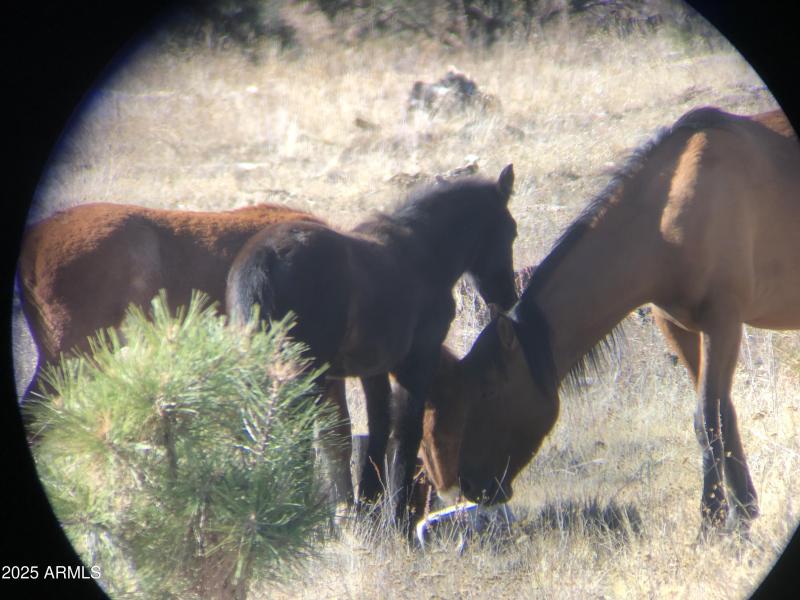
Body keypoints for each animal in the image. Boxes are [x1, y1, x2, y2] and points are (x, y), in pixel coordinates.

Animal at [225, 165, 518, 525]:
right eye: (511, 232)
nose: (508, 297)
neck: (423, 252)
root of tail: (264, 260)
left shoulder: (373, 369)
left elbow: (379, 427)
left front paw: (369, 504)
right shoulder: (416, 362)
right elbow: (407, 432)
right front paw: (400, 516)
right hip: (304, 375)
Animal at [444, 107, 800, 533]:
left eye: (488, 393)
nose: (469, 484)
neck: (670, 216)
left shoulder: (723, 323)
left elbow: (707, 418)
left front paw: (714, 520)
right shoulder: (679, 327)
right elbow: (722, 414)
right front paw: (740, 511)